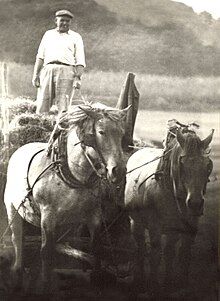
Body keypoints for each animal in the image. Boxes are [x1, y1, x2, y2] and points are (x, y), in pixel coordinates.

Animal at [124, 127, 214, 292]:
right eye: (181, 164)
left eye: (207, 165)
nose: (195, 203)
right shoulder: (154, 226)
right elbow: (155, 254)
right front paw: (153, 285)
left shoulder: (187, 227)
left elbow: (181, 253)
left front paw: (176, 283)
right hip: (135, 222)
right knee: (140, 248)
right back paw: (139, 279)